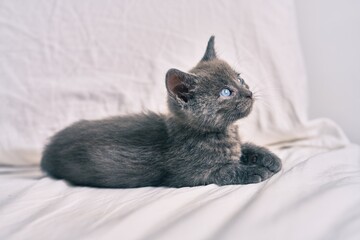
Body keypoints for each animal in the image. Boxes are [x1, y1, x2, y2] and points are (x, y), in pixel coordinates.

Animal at [40, 36, 282, 188]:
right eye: (225, 92)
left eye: (239, 79)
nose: (248, 93)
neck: (224, 133)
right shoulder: (191, 175)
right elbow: (224, 171)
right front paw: (252, 170)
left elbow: (245, 147)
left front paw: (269, 158)